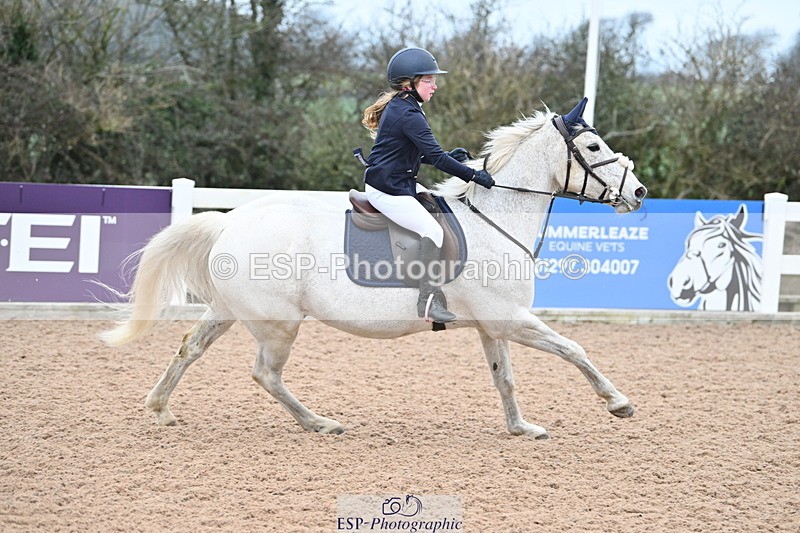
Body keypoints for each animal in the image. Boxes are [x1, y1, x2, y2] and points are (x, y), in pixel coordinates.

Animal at [99, 97, 647, 439]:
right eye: (594, 148)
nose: (639, 193)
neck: (496, 218)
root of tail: (230, 222)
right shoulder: (509, 318)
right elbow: (573, 348)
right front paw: (618, 402)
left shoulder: (494, 323)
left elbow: (504, 378)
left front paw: (521, 428)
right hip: (279, 324)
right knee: (265, 374)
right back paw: (319, 423)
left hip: (230, 310)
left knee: (189, 347)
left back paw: (160, 407)